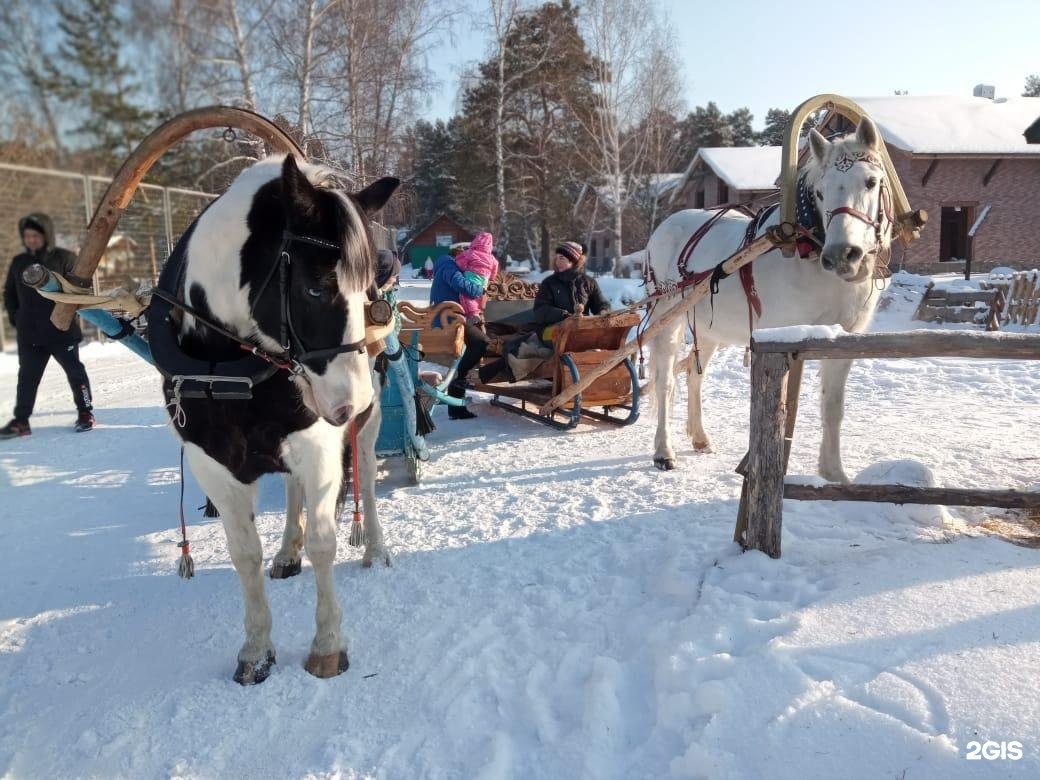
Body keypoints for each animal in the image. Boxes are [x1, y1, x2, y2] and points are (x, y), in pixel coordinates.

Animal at [153, 153, 397, 682]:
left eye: (368, 289)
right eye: (314, 288)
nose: (351, 401)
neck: (229, 369)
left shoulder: (320, 447)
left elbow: (325, 542)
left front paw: (328, 645)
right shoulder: (212, 462)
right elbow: (244, 554)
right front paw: (256, 650)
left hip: (366, 431)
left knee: (366, 480)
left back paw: (374, 547)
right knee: (290, 489)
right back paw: (288, 550)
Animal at [644, 117, 890, 482]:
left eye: (871, 182)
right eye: (820, 191)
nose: (842, 255)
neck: (807, 251)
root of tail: (665, 225)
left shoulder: (843, 340)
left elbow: (832, 407)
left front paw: (833, 474)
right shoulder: (780, 338)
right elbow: (780, 405)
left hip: (708, 328)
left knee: (694, 376)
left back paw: (700, 437)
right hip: (667, 317)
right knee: (665, 382)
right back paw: (664, 451)